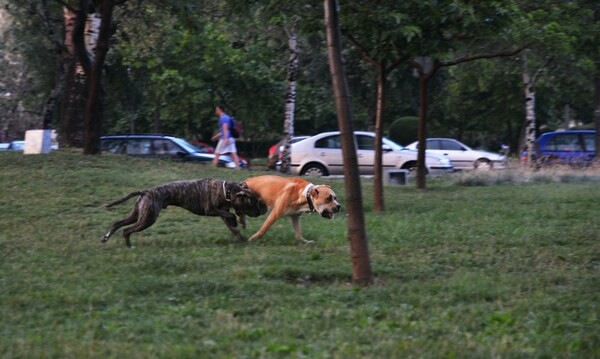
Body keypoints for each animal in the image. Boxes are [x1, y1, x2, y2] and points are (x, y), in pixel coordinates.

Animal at [102, 179, 266, 248]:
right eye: (252, 203)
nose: (260, 211)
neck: (227, 191)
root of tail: (146, 192)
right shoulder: (211, 210)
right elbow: (231, 217)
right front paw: (238, 224)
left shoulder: (222, 213)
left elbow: (231, 225)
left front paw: (240, 237)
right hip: (147, 219)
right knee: (126, 230)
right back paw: (129, 245)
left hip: (138, 215)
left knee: (118, 223)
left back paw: (106, 237)